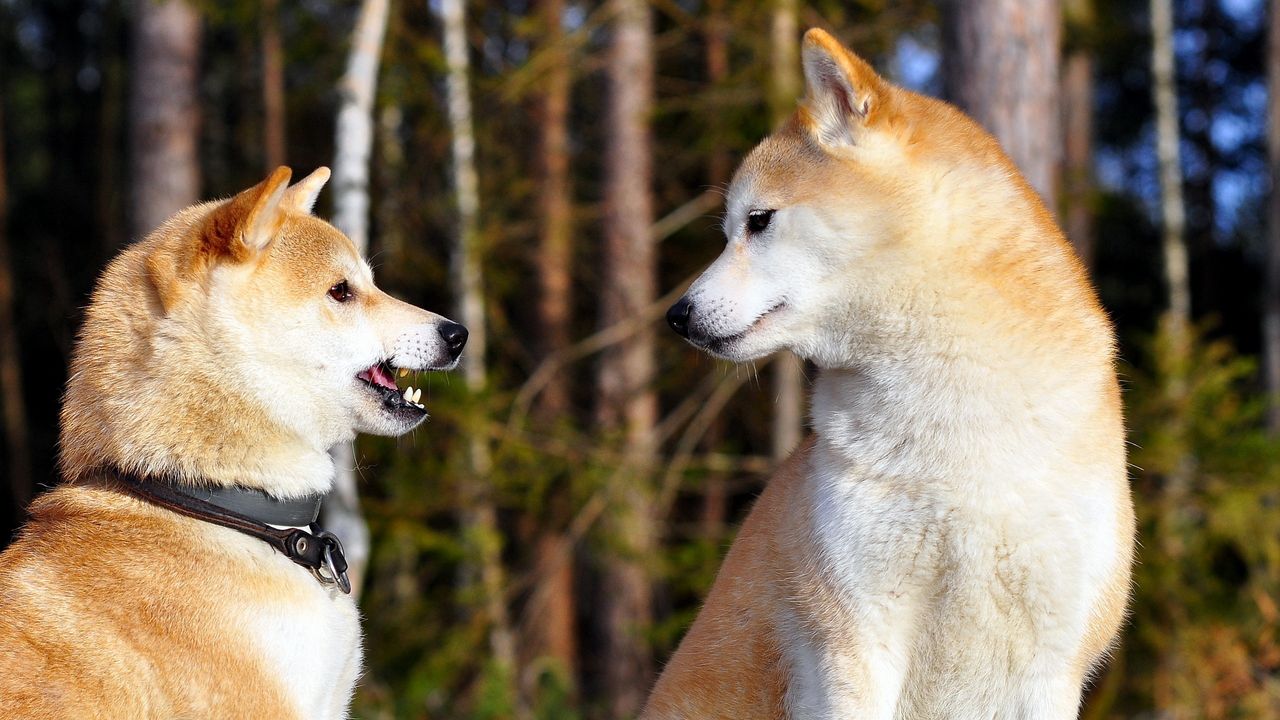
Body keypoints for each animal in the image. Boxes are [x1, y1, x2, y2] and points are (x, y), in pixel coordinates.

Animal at [645, 29, 1136, 717]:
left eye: (758, 221)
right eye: (733, 227)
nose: (677, 316)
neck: (961, 434)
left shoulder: (1052, 666)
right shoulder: (856, 635)